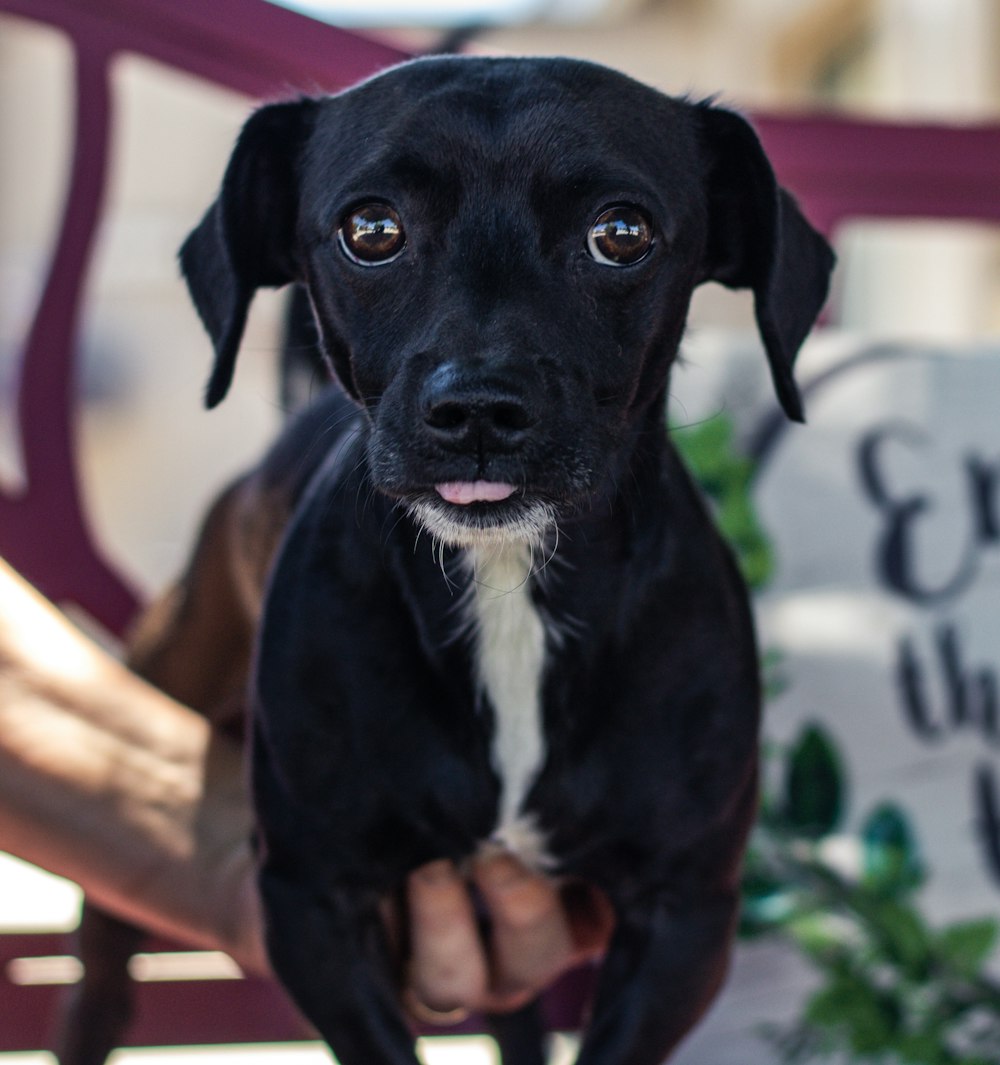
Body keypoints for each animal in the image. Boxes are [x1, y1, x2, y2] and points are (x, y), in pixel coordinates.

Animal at [62, 54, 834, 1065]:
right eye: (371, 229)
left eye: (622, 232)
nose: (476, 409)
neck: (505, 584)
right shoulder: (314, 902)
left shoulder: (685, 915)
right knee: (104, 946)